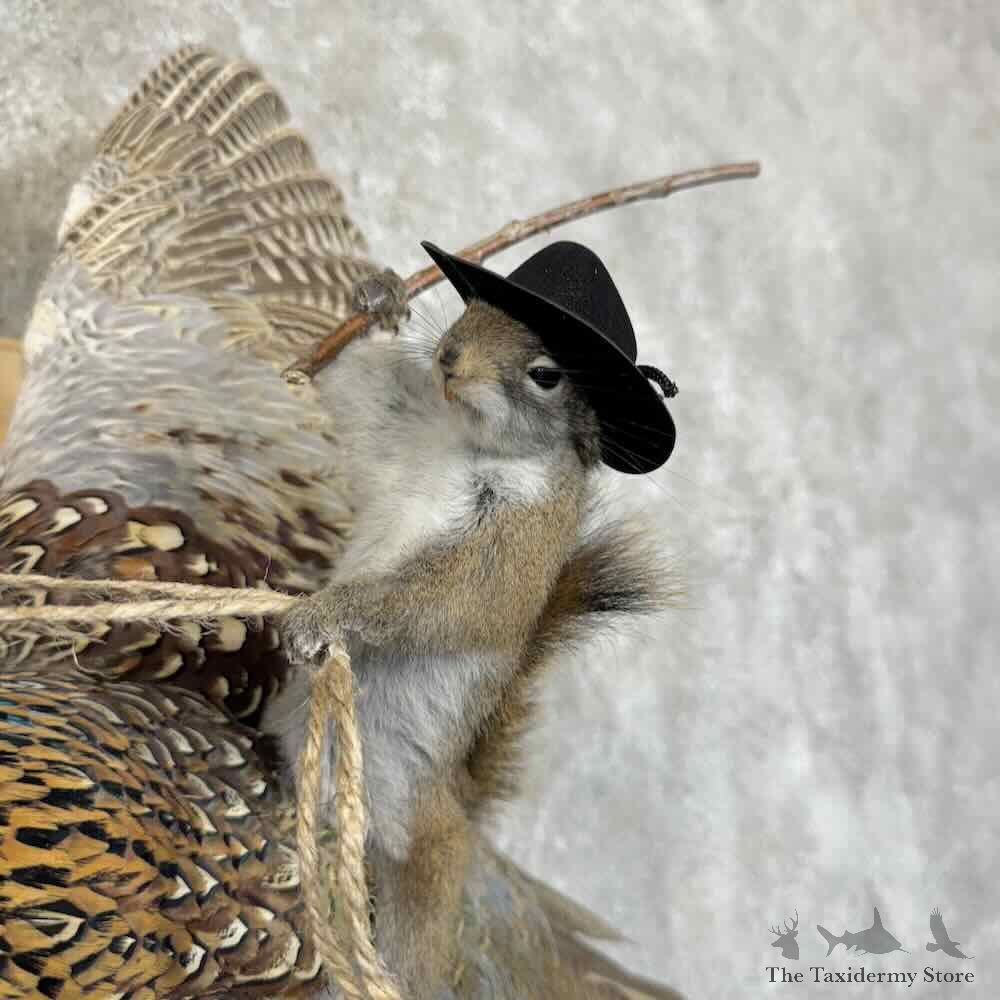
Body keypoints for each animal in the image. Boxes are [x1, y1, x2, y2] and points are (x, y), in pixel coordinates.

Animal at [264, 244, 680, 998]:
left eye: (547, 374)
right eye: (476, 308)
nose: (451, 357)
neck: (466, 444)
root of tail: (455, 805)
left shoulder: (515, 544)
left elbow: (446, 600)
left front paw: (328, 612)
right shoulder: (397, 419)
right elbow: (349, 385)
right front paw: (379, 297)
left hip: (427, 869)